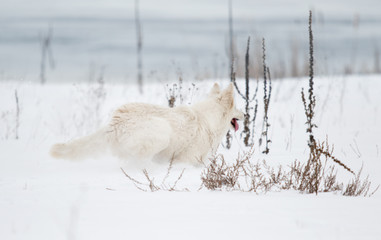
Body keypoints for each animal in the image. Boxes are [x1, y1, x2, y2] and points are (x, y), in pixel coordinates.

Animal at [49, 83, 243, 165]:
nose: (246, 114)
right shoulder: (187, 158)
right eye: (237, 107)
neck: (210, 119)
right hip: (162, 133)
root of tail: (114, 123)